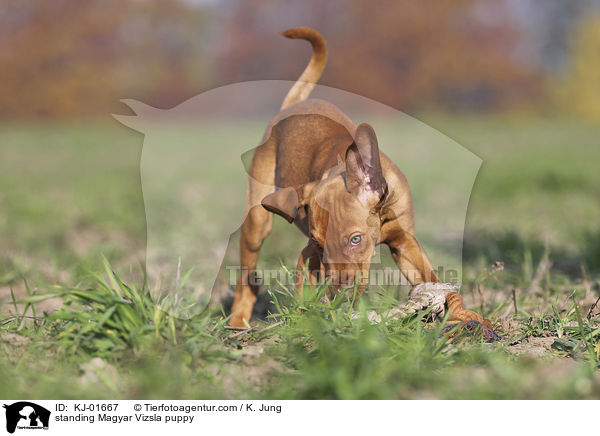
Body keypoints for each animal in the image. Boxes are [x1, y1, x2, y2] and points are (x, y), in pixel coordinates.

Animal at [229, 27, 478, 330]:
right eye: (319, 244)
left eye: (355, 239)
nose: (341, 295)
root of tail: (292, 106)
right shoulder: (308, 256)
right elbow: (304, 294)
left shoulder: (405, 243)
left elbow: (430, 277)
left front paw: (456, 312)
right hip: (256, 221)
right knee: (247, 277)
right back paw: (237, 320)